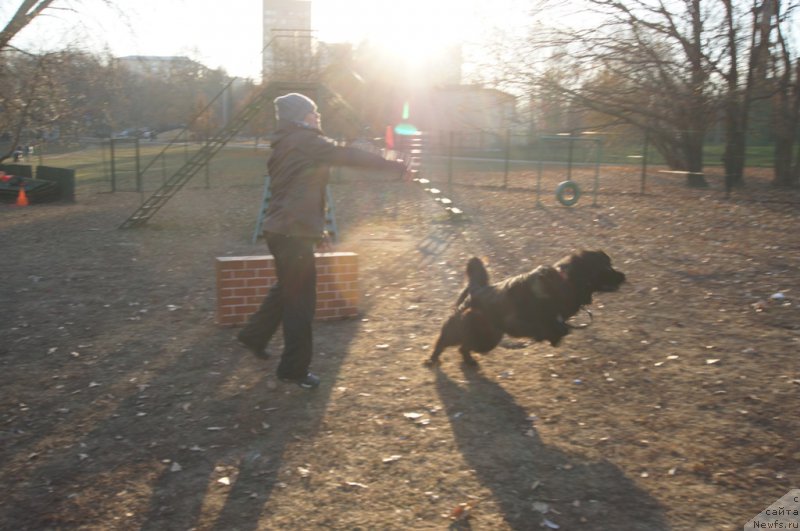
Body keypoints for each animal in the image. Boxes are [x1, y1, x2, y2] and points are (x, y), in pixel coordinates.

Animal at [428, 249, 628, 366]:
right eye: (606, 268)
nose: (624, 276)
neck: (565, 282)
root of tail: (475, 289)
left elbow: (559, 328)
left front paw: (554, 337)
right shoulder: (518, 320)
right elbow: (547, 327)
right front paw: (551, 336)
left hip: (489, 337)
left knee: (464, 346)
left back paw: (469, 360)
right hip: (471, 326)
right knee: (445, 341)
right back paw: (432, 359)